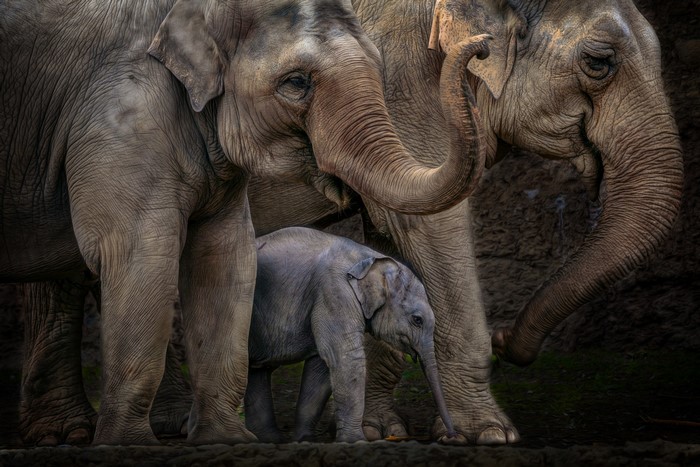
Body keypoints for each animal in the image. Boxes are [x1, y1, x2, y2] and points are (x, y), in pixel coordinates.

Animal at [242, 227, 456, 443]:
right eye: (417, 320)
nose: (450, 436)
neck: (370, 258)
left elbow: (320, 367)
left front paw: (306, 440)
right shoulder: (334, 293)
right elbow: (345, 358)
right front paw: (357, 441)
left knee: (257, 370)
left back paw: (271, 439)